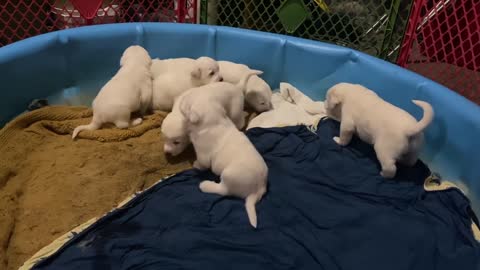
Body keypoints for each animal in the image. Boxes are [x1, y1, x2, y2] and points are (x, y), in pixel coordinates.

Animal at [181, 86, 270, 228]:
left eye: (186, 103)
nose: (182, 98)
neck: (214, 120)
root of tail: (259, 189)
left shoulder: (203, 155)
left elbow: (202, 163)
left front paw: (195, 165)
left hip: (229, 175)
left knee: (223, 190)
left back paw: (205, 185)